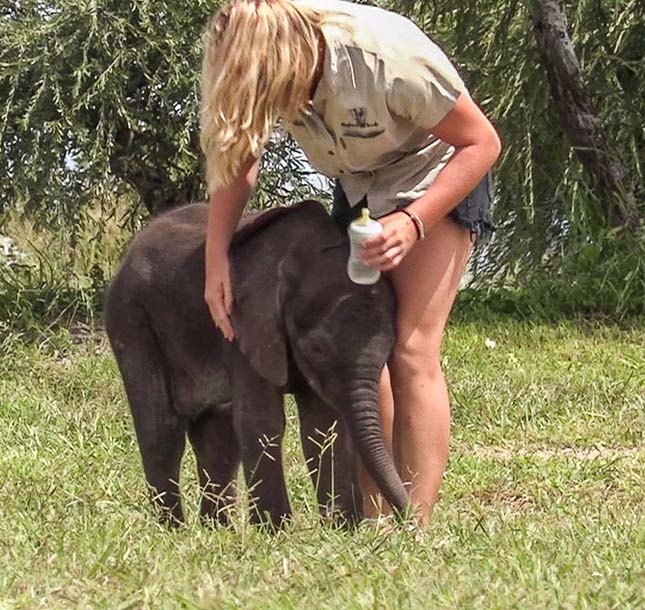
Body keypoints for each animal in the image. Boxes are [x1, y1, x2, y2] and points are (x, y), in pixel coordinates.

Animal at [105, 201, 408, 528]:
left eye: (390, 348)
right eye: (317, 348)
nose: (412, 522)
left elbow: (322, 426)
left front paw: (341, 529)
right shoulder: (241, 325)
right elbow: (263, 420)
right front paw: (278, 530)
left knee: (217, 438)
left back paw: (216, 529)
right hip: (132, 321)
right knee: (161, 428)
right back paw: (174, 529)